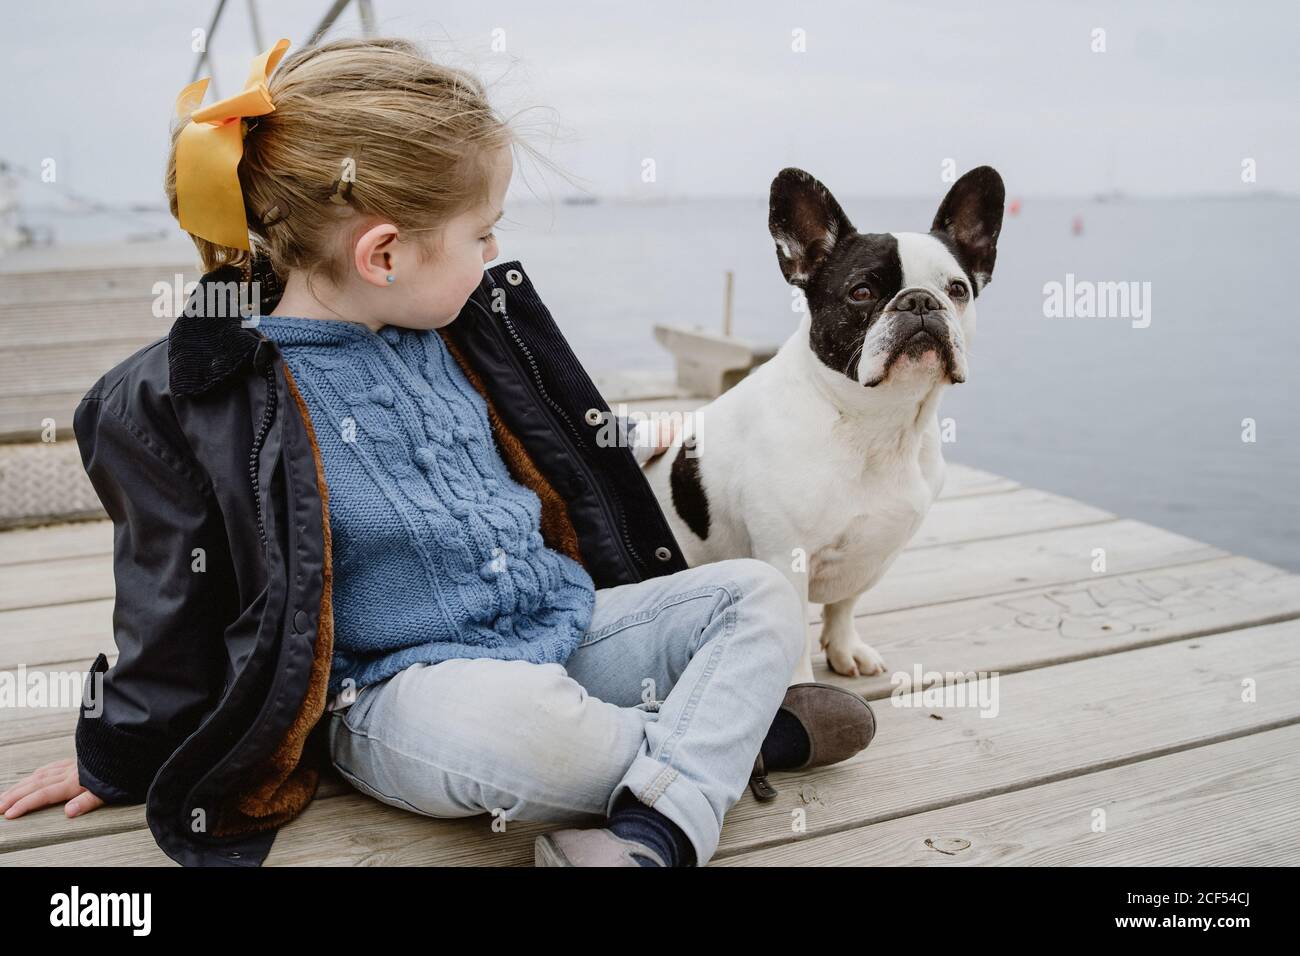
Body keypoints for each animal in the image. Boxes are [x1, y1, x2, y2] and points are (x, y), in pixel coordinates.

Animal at [642, 167, 1003, 686]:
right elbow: (791, 628)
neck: (875, 423)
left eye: (957, 289)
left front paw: (844, 646)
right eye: (861, 292)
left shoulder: (875, 551)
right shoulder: (785, 558)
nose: (918, 301)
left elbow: (846, 603)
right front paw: (797, 686)